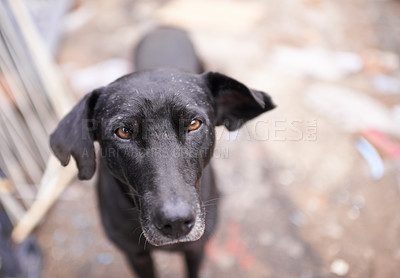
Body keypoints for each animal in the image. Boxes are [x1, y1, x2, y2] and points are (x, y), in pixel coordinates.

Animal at [50, 26, 276, 278]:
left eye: (194, 124)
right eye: (123, 131)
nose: (176, 222)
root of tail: (164, 27)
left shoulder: (196, 250)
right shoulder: (136, 256)